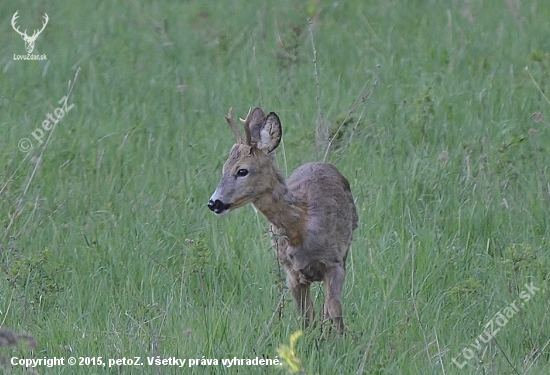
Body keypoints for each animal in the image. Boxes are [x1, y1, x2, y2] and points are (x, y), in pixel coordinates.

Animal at [209, 107, 360, 334]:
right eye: (223, 169)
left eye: (242, 170)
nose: (214, 202)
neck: (301, 227)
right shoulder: (292, 274)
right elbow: (305, 319)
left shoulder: (334, 263)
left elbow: (334, 310)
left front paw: (340, 339)